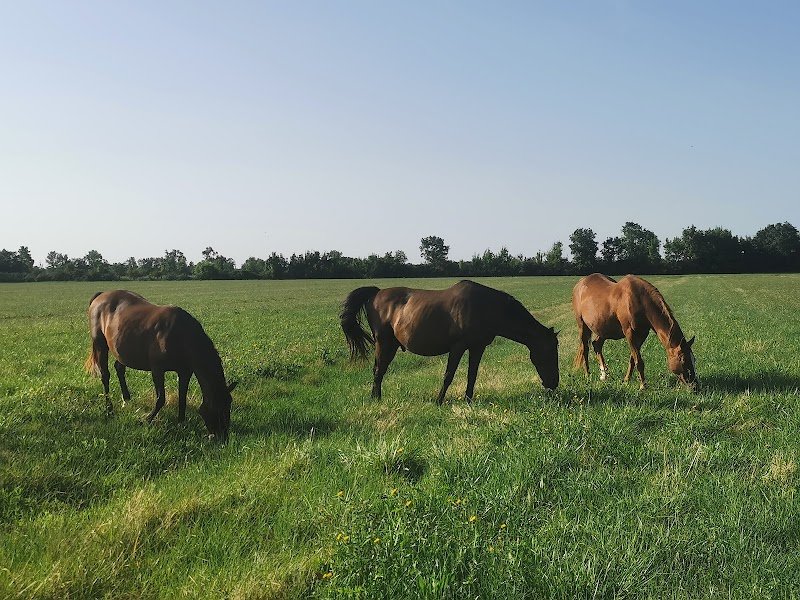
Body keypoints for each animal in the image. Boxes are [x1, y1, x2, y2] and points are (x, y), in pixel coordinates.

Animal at [85, 290, 237, 439]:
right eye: (217, 406)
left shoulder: (185, 371)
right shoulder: (157, 369)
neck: (182, 335)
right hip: (100, 344)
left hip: (122, 349)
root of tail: (101, 295)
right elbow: (161, 398)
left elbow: (182, 397)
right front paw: (146, 420)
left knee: (119, 367)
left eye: (229, 404)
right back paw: (109, 409)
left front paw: (181, 423)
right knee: (105, 375)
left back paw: (126, 398)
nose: (222, 437)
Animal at [340, 280, 559, 404]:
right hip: (384, 343)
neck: (486, 308)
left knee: (377, 370)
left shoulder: (477, 347)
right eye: (550, 352)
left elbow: (472, 375)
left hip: (389, 345)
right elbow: (448, 375)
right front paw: (439, 401)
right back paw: (376, 400)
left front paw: (469, 400)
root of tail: (376, 293)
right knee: (379, 370)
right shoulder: (458, 347)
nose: (554, 383)